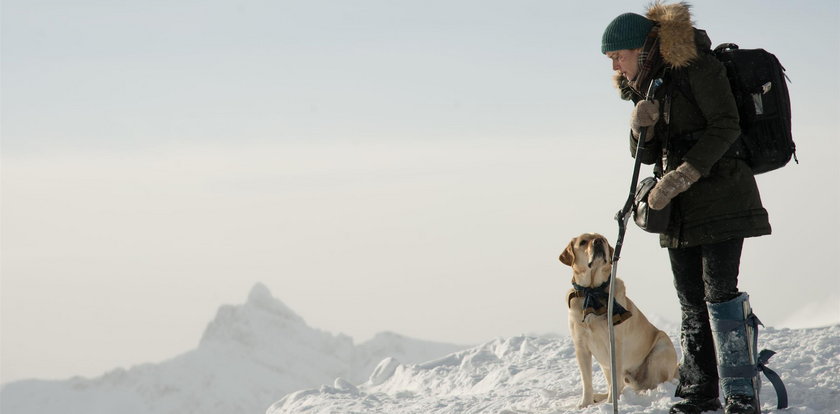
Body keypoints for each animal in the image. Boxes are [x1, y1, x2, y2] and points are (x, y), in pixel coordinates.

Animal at [556, 233, 676, 408]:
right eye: (583, 242)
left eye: (603, 239)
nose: (599, 242)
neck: (592, 291)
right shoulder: (581, 347)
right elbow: (587, 381)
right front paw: (585, 404)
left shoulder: (615, 343)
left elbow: (615, 380)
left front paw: (610, 403)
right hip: (605, 365)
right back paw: (598, 397)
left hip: (660, 349)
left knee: (651, 384)